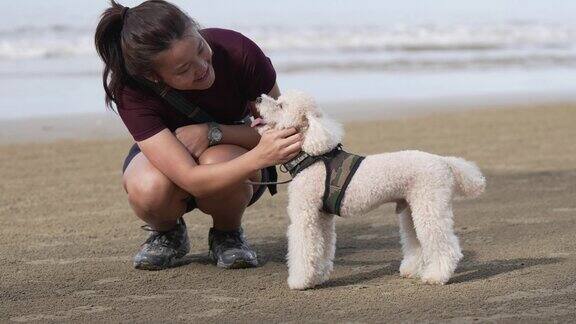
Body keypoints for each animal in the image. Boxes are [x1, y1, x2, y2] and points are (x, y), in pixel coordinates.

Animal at [253, 90, 486, 290]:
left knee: (446, 246)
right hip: (412, 208)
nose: (257, 98)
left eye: (280, 105)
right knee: (417, 241)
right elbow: (322, 247)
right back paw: (413, 270)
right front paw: (318, 276)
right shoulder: (321, 217)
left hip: (430, 206)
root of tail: (445, 162)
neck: (311, 157)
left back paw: (436, 276)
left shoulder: (305, 216)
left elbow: (303, 247)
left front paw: (300, 281)